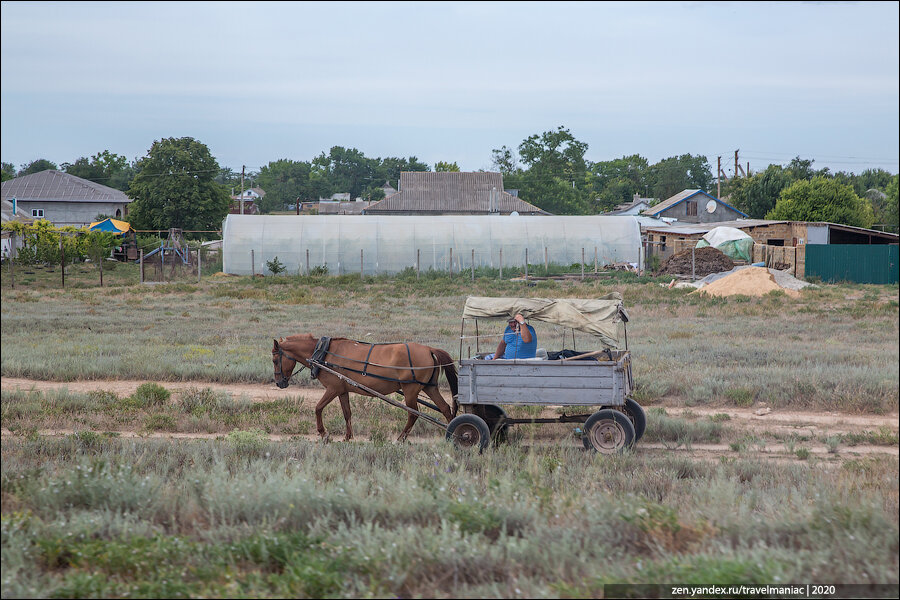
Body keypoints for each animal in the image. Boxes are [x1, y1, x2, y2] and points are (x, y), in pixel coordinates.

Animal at [272, 336, 458, 442]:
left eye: (274, 360)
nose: (279, 383)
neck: (324, 353)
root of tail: (429, 349)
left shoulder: (332, 389)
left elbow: (318, 408)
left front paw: (324, 434)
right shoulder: (342, 390)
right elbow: (347, 413)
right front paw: (347, 437)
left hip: (410, 390)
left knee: (413, 414)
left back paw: (401, 438)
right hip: (429, 388)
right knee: (445, 409)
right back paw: (452, 435)